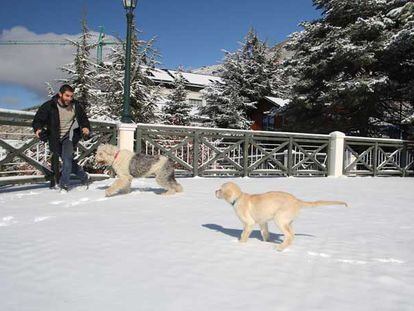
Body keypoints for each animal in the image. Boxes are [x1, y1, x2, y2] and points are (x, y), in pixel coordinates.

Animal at [215, 183, 348, 251]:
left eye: (220, 189)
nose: (214, 191)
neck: (238, 198)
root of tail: (297, 200)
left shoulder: (249, 223)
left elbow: (244, 235)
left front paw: (240, 244)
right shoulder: (263, 222)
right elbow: (265, 233)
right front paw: (266, 243)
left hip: (279, 219)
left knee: (289, 235)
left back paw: (280, 248)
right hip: (288, 221)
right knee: (292, 235)